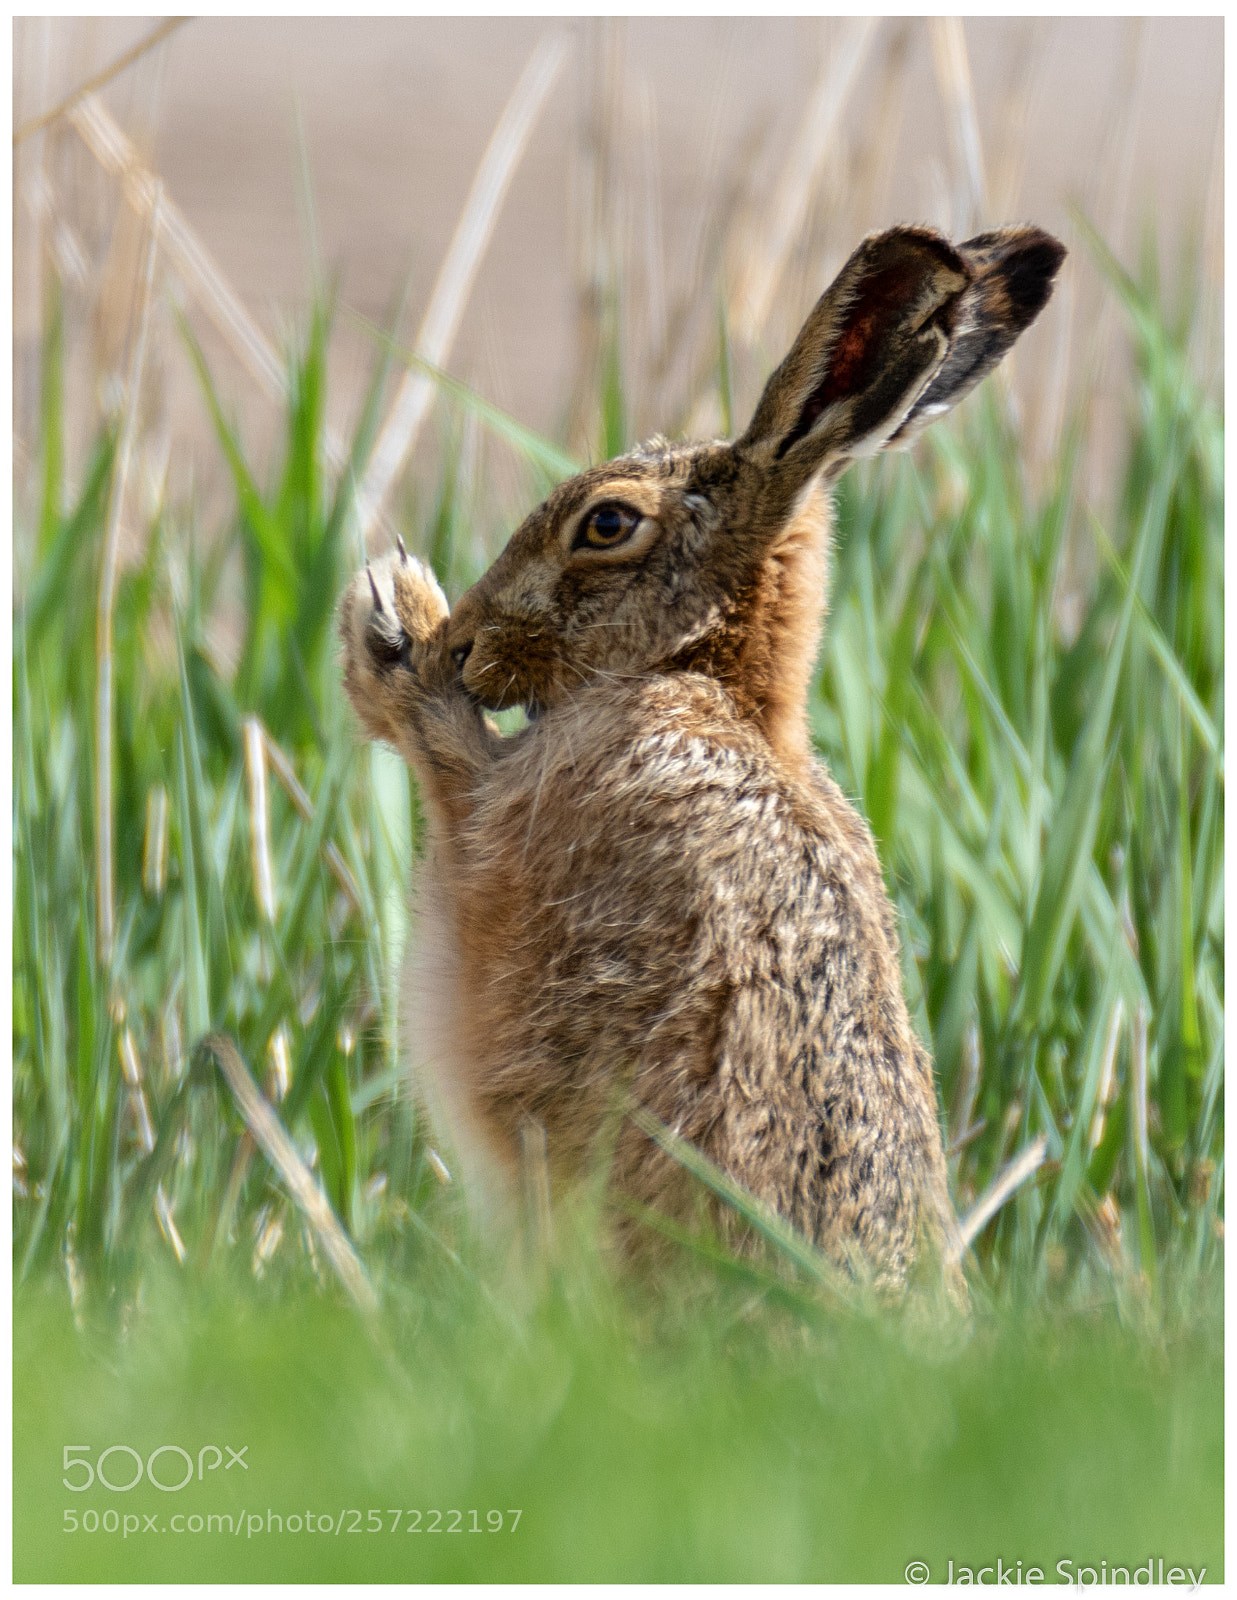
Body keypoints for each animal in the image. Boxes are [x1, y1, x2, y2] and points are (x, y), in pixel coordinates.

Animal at [339, 223, 1065, 1303]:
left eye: (606, 524)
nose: (465, 642)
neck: (709, 685)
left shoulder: (507, 848)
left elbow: (449, 761)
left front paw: (391, 619)